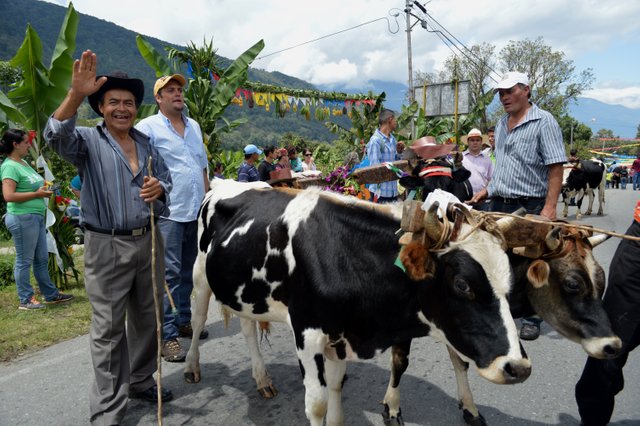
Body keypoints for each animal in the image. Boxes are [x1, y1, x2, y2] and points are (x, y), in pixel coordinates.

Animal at [184, 180, 528, 426]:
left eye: (510, 282)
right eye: (462, 285)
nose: (518, 368)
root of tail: (224, 182)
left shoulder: (341, 335)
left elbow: (337, 394)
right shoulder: (308, 334)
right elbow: (318, 404)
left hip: (246, 292)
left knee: (247, 329)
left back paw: (262, 379)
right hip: (200, 275)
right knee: (198, 319)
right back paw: (191, 367)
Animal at [380, 218, 620, 424]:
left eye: (602, 282)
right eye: (573, 284)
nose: (613, 345)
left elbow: (460, 363)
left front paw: (470, 408)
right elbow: (400, 363)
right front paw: (392, 408)